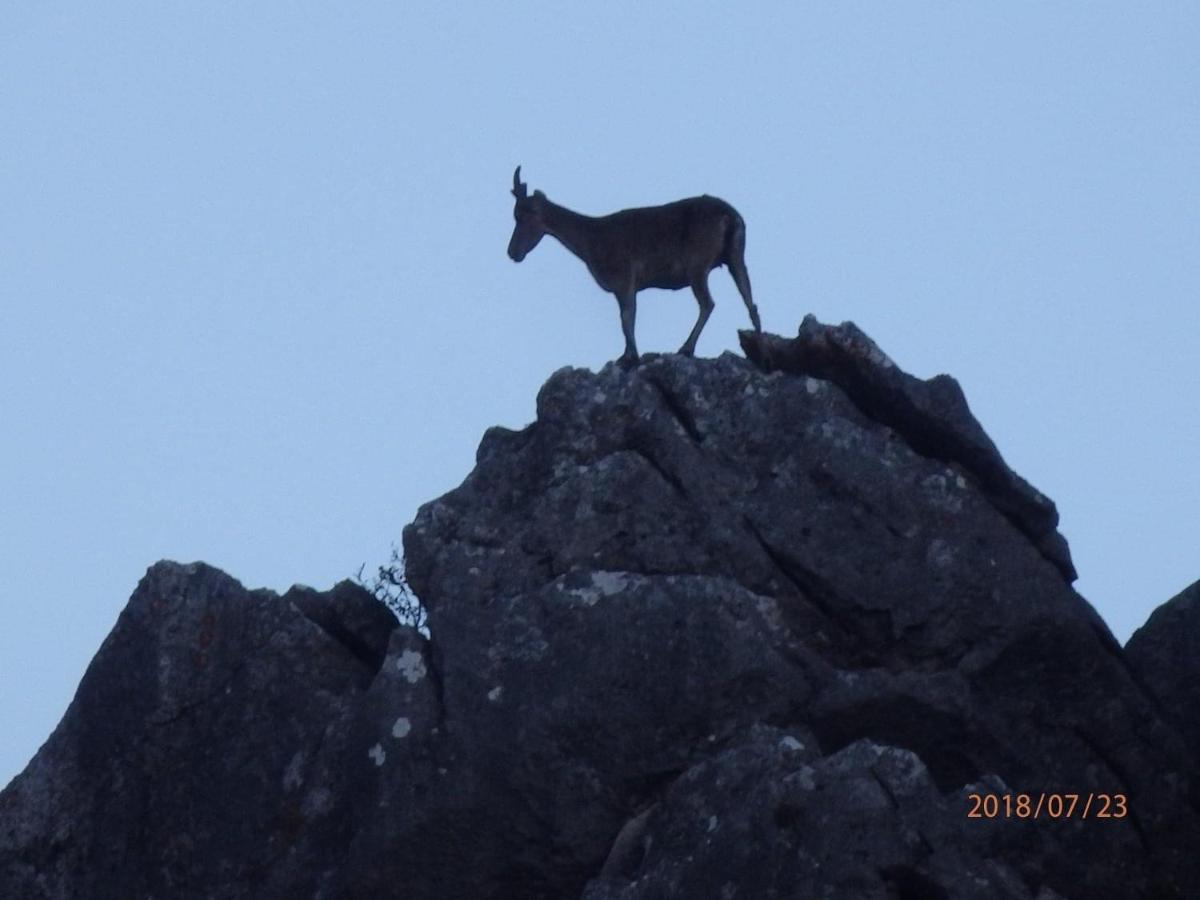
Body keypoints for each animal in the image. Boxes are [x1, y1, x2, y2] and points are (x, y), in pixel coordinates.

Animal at [506, 168, 758, 364]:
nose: (512, 252)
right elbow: (626, 317)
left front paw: (630, 357)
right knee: (748, 297)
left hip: (698, 264)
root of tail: (731, 217)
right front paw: (628, 354)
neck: (590, 241)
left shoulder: (624, 277)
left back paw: (686, 348)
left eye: (521, 216)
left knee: (708, 303)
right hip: (735, 255)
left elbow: (627, 317)